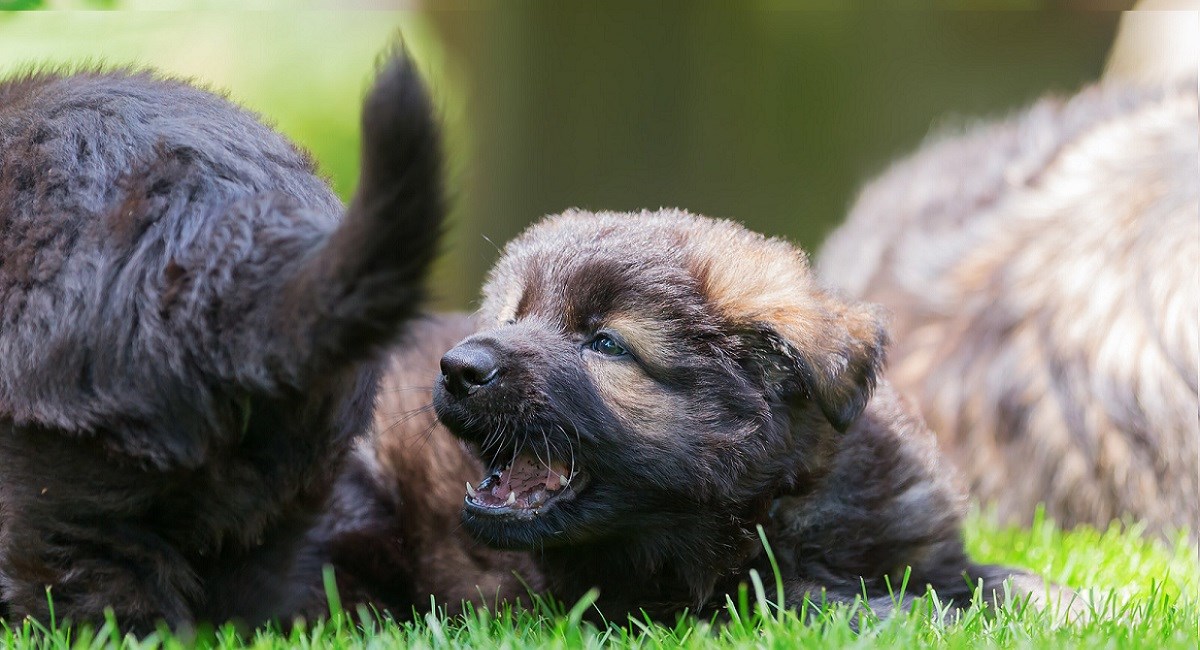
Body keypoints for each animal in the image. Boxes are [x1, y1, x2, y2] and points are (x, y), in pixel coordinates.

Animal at [326, 211, 1060, 623]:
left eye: (606, 344)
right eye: (513, 317)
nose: (458, 367)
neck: (781, 502)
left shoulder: (922, 545)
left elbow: (1011, 582)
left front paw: (1058, 602)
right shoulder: (670, 599)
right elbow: (802, 598)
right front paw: (912, 615)